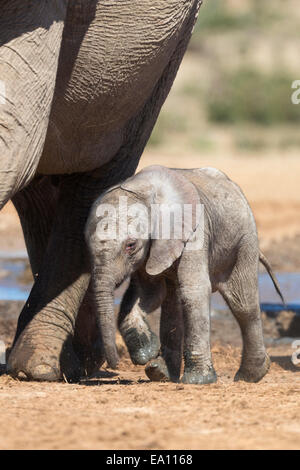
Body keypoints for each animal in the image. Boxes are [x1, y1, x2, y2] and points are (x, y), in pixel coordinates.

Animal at [85, 165, 284, 386]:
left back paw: (249, 376)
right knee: (173, 305)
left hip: (244, 240)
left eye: (131, 245)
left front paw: (198, 380)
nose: (114, 365)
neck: (142, 192)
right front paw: (147, 352)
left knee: (243, 304)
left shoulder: (196, 231)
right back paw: (160, 373)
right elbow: (148, 294)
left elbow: (194, 290)